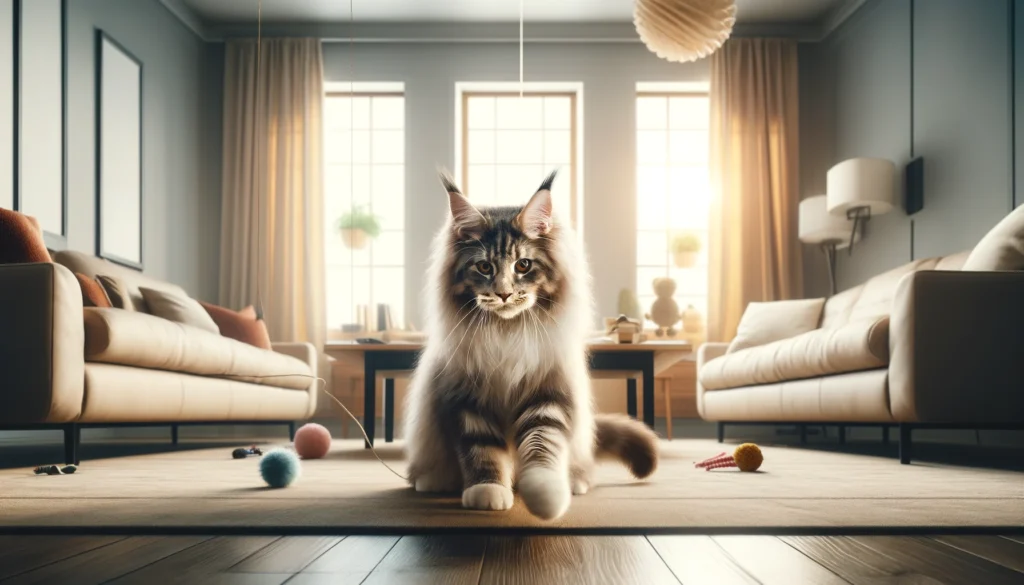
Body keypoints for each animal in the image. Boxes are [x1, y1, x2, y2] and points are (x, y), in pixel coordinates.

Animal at [399, 169, 655, 522]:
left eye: (523, 265)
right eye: (484, 267)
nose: (504, 293)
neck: (507, 334)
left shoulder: (547, 392)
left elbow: (541, 446)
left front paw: (546, 498)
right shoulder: (467, 397)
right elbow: (482, 451)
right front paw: (488, 491)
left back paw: (575, 482)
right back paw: (432, 481)